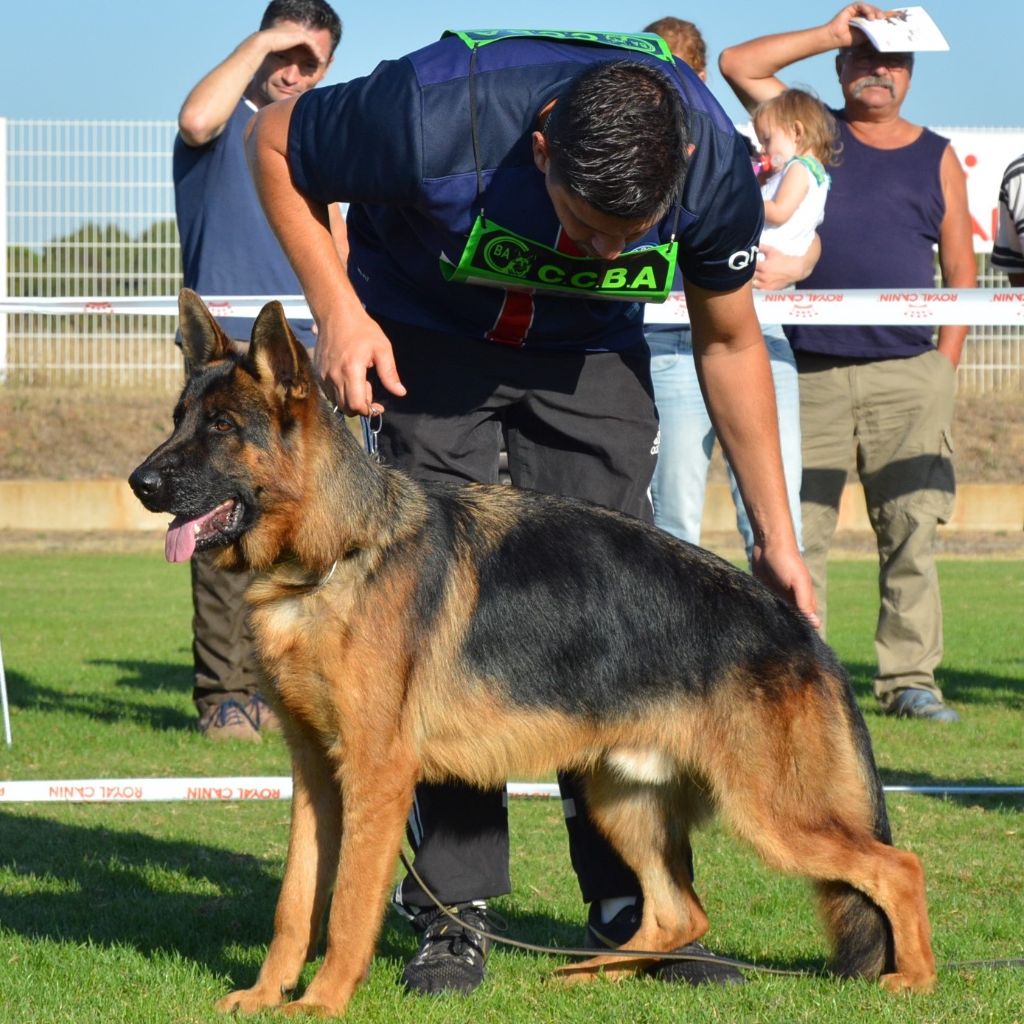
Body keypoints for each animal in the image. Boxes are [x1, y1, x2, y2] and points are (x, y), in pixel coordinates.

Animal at [128, 288, 937, 1015]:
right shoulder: (315, 781)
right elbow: (295, 905)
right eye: (178, 421)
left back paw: (915, 979)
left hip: (769, 813)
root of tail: (800, 628)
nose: (140, 482)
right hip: (622, 799)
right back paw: (588, 973)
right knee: (680, 912)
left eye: (224, 426)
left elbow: (350, 908)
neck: (334, 554)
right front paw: (266, 994)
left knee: (898, 865)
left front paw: (321, 1003)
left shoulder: (375, 779)